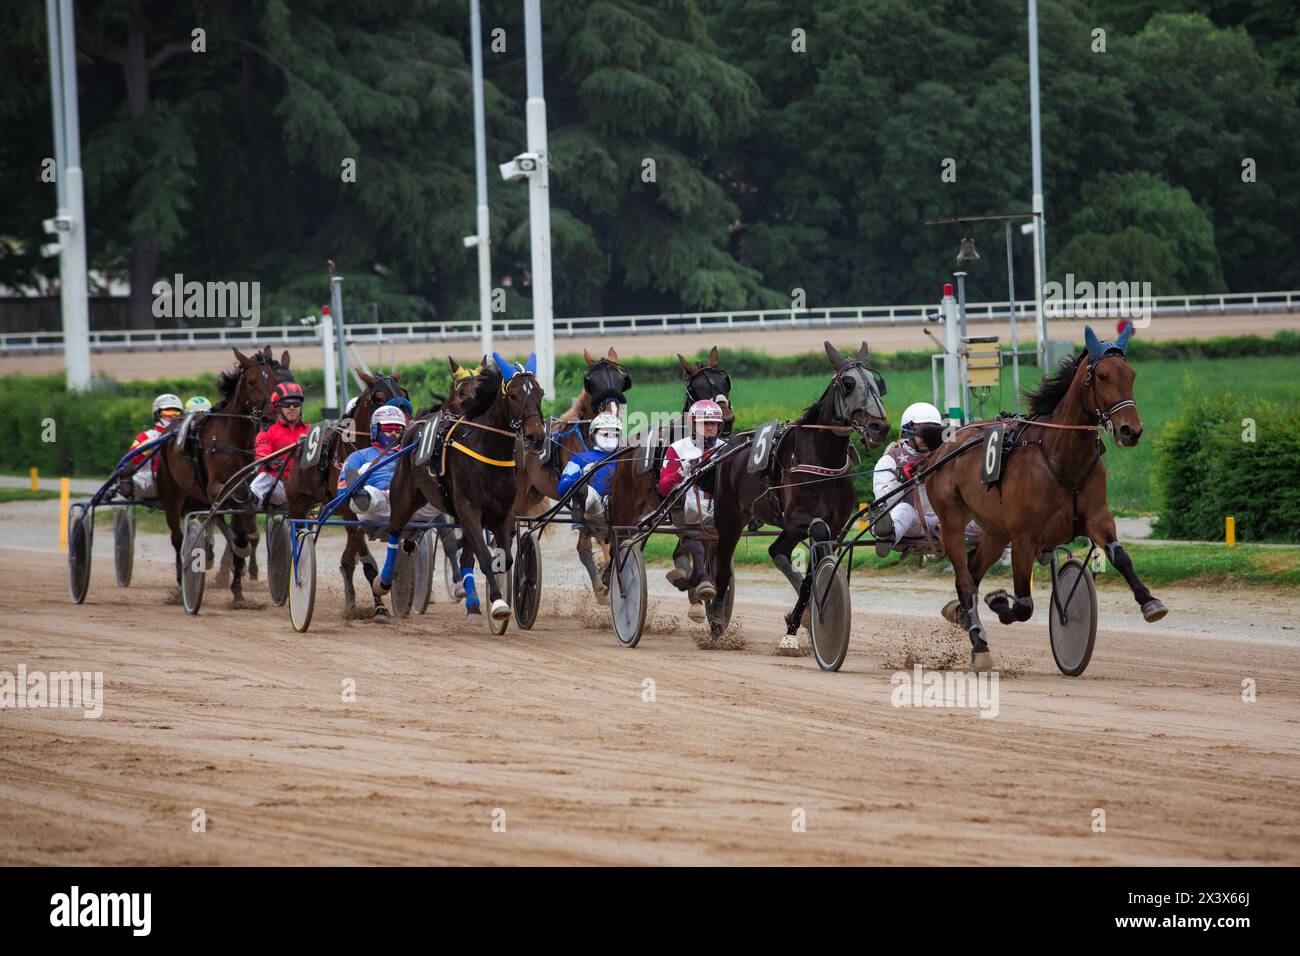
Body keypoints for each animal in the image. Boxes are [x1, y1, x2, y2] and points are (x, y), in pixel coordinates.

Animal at [155, 348, 289, 606]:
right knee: (177, 536)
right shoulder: (217, 487)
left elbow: (242, 529)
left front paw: (238, 589)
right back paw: (182, 581)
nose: (269, 417)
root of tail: (170, 429)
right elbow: (234, 517)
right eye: (251, 381)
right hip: (172, 493)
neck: (234, 439)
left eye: (275, 381)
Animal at [374, 356, 546, 624]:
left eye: (540, 392)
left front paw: (494, 601)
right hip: (405, 495)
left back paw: (473, 605)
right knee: (394, 530)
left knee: (464, 557)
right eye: (514, 395)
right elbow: (485, 558)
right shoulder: (469, 510)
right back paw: (383, 581)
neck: (487, 448)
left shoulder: (502, 514)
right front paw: (498, 604)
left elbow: (504, 559)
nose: (536, 436)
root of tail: (416, 427)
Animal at [512, 348, 629, 595]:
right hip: (518, 497)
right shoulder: (578, 490)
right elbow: (584, 543)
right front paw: (600, 583)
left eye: (619, 381)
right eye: (594, 383)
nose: (611, 413)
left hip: (534, 494)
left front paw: (607, 569)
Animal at [712, 343, 894, 634]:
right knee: (723, 564)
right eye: (848, 383)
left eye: (878, 384)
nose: (879, 427)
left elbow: (815, 568)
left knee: (777, 551)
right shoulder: (798, 519)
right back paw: (716, 618)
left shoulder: (836, 525)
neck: (822, 459)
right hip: (729, 516)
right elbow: (818, 533)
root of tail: (731, 445)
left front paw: (802, 617)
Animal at [925, 325, 1170, 671]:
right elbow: (1023, 605)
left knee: (972, 569)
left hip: (996, 531)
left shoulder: (1097, 517)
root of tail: (945, 444)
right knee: (964, 580)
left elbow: (1121, 556)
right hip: (952, 521)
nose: (1130, 431)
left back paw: (960, 613)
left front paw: (1150, 602)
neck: (1061, 456)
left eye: (1131, 374)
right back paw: (979, 645)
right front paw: (998, 601)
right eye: (1103, 376)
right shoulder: (1024, 536)